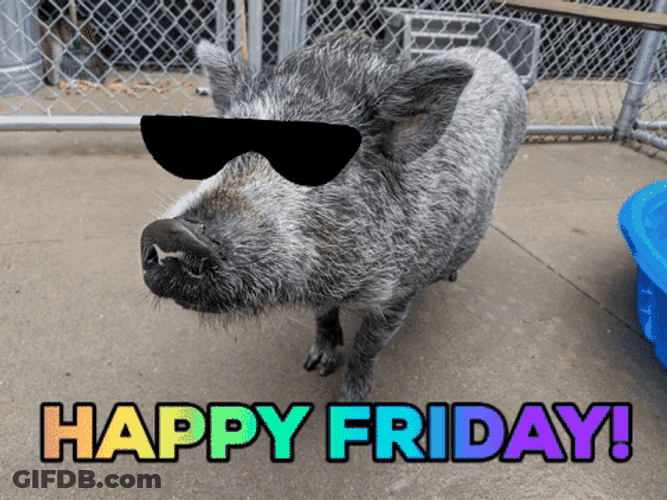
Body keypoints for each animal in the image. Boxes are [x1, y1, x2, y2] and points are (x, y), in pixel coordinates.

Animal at [140, 31, 528, 402]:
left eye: (319, 156)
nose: (171, 230)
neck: (339, 281)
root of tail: (495, 57)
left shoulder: (401, 290)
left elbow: (367, 347)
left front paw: (354, 399)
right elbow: (323, 314)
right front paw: (316, 365)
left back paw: (451, 275)